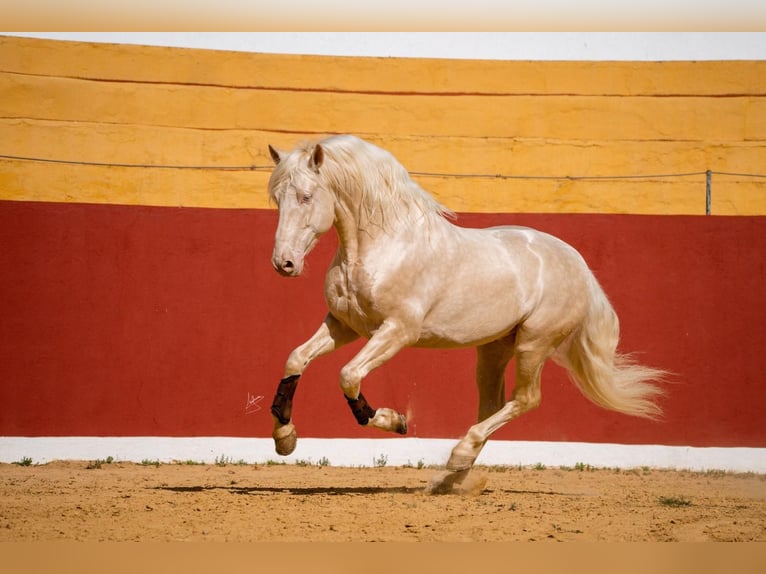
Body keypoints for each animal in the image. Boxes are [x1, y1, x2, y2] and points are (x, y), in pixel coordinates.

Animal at [266, 135, 664, 496]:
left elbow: (348, 375)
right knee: (491, 404)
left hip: (534, 344)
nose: (284, 264)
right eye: (277, 198)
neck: (382, 246)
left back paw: (457, 458)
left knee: (525, 399)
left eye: (306, 196)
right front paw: (285, 438)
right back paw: (452, 478)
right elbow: (295, 359)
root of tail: (578, 264)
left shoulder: (397, 331)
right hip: (493, 350)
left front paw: (396, 422)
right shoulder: (345, 326)